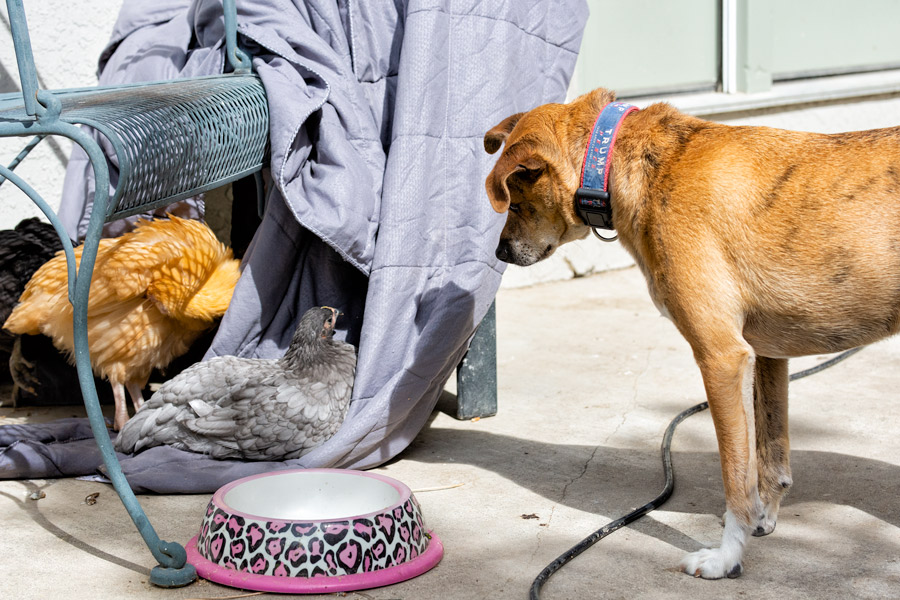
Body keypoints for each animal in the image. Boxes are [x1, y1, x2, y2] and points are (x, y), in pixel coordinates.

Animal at [488, 86, 900, 580]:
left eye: (514, 203)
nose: (500, 251)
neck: (636, 160)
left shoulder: (721, 357)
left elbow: (735, 475)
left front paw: (726, 557)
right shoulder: (768, 355)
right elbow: (771, 460)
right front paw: (763, 521)